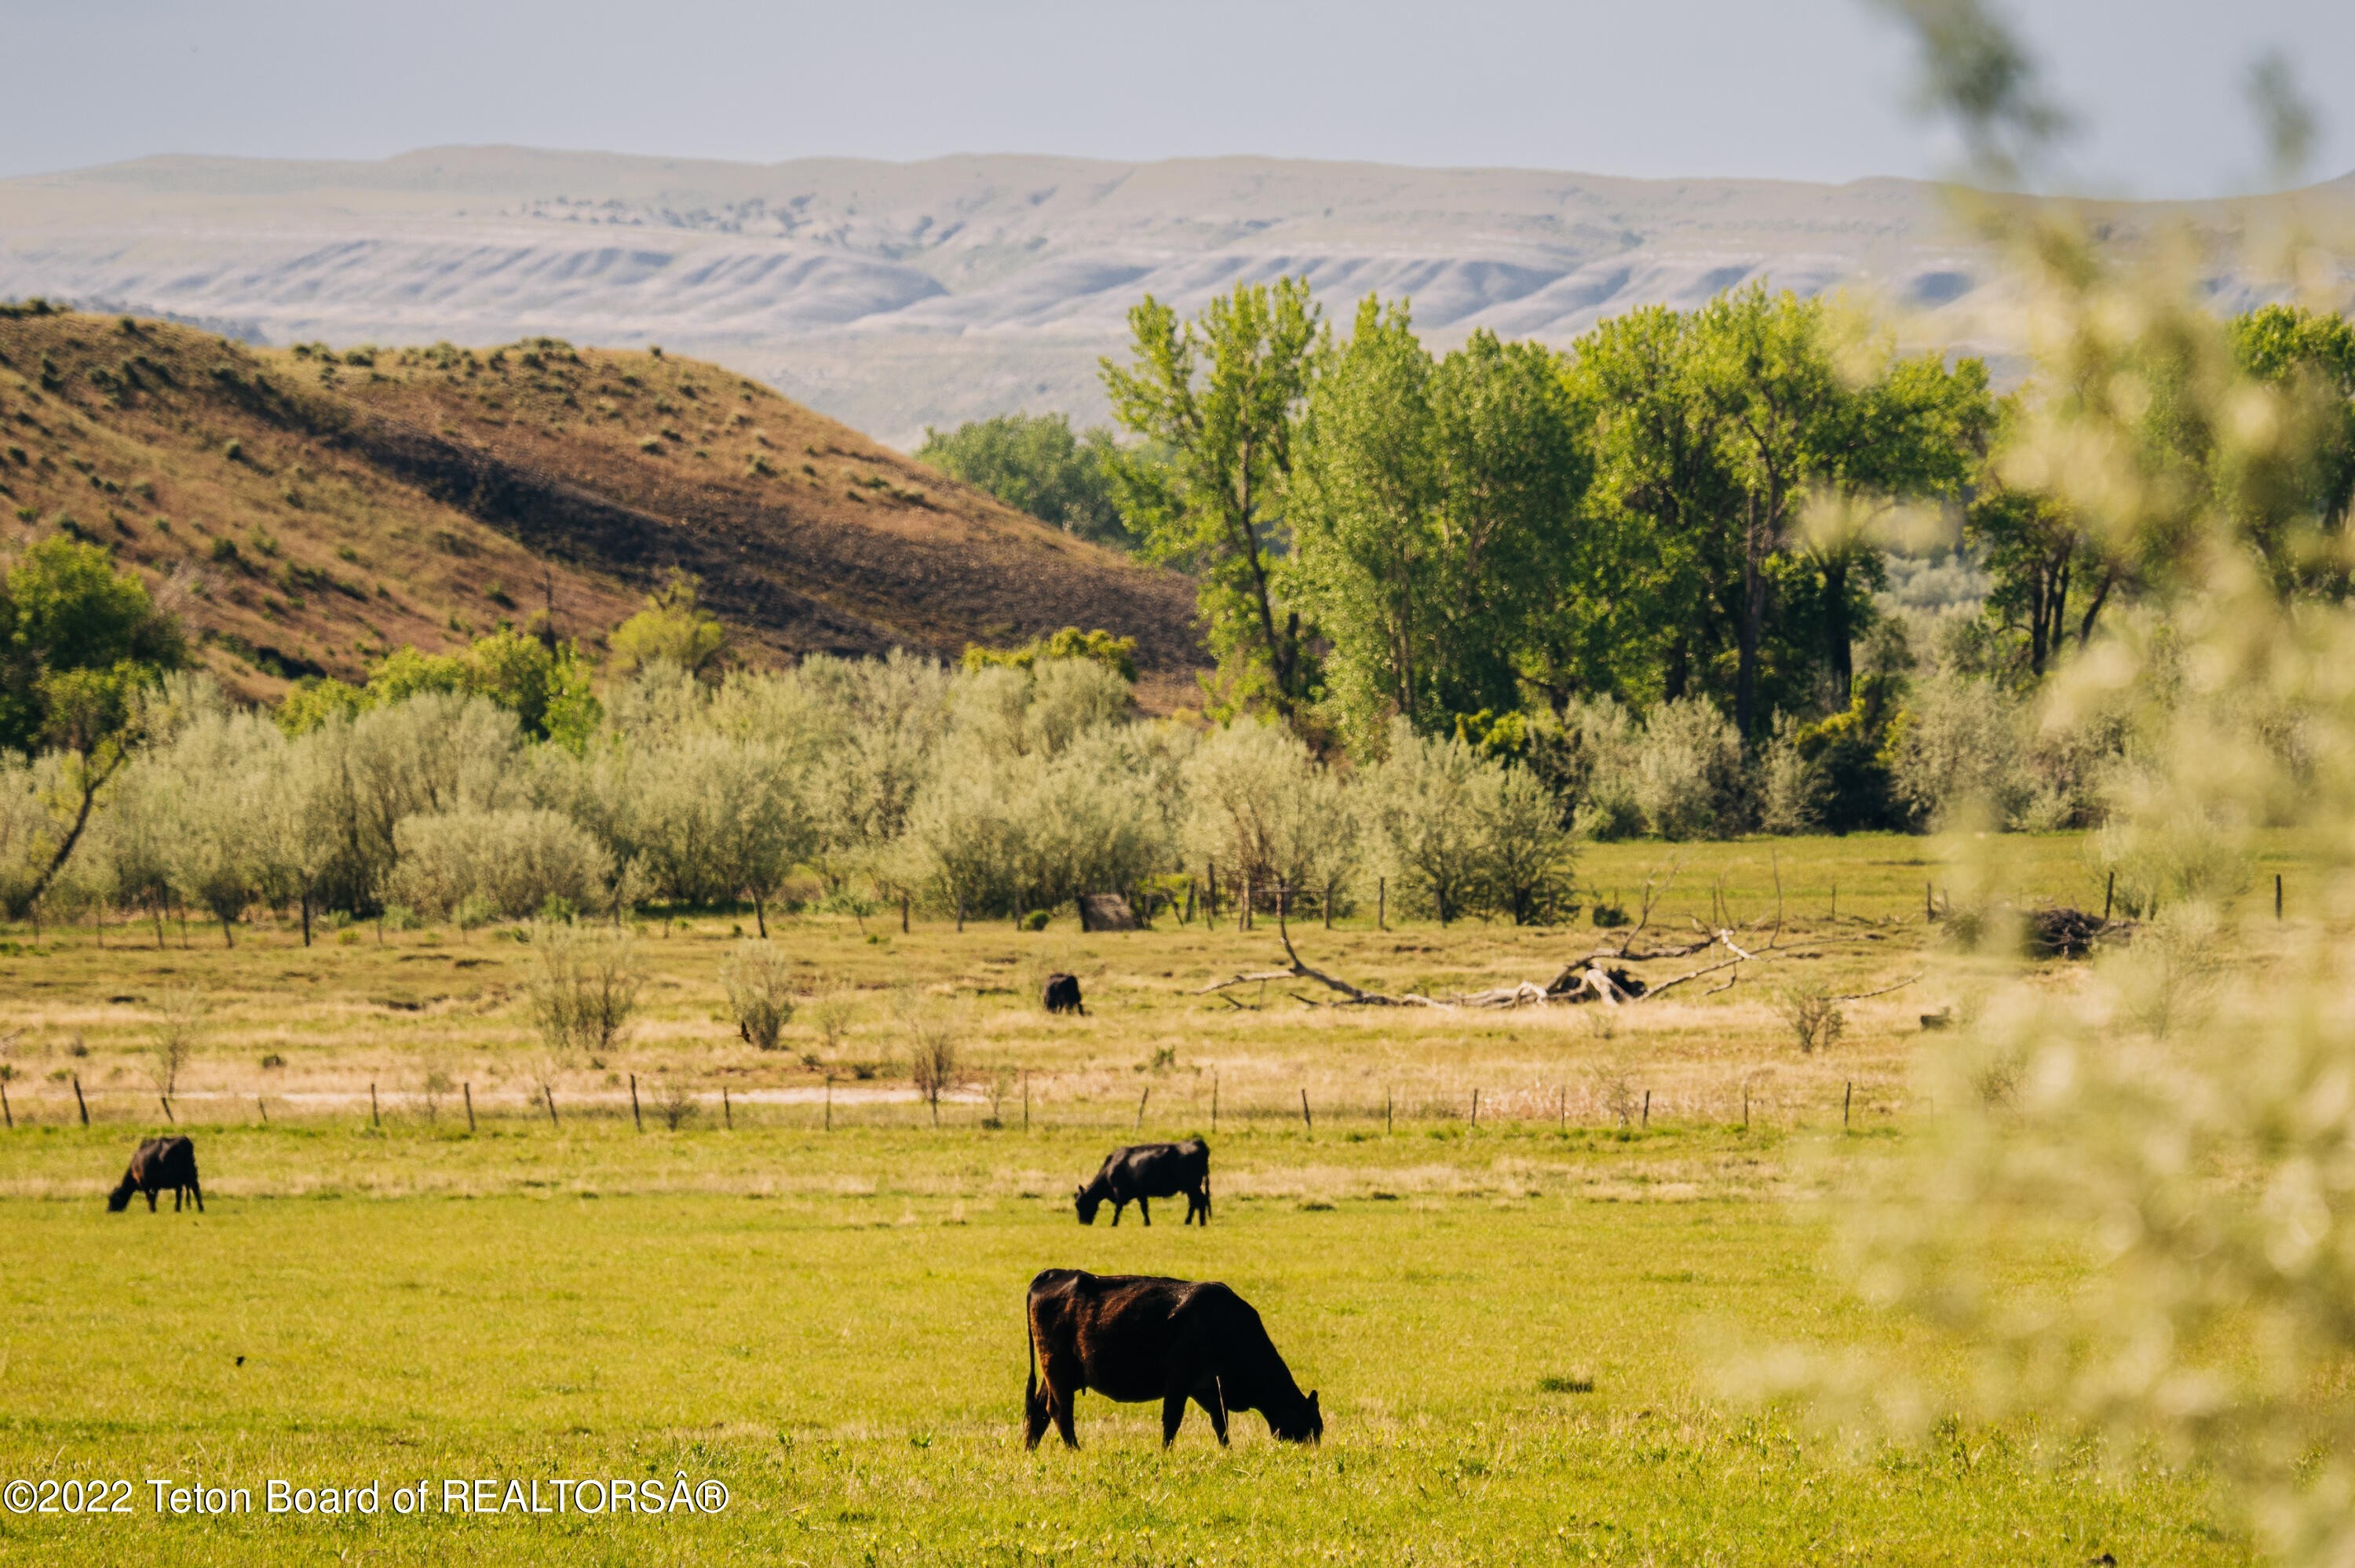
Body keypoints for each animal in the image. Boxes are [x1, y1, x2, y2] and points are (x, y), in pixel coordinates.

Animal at [1031, 1262, 1328, 1450]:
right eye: (1311, 1425)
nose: (1312, 1450)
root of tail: (1051, 1274)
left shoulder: (1209, 1389)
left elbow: (1220, 1424)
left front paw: (1228, 1451)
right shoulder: (1179, 1382)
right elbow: (1172, 1421)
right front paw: (1165, 1452)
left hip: (1054, 1375)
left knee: (1038, 1410)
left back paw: (1030, 1451)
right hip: (1057, 1370)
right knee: (1060, 1411)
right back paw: (1075, 1449)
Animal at [1074, 1135, 1206, 1224]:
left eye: (1080, 1204)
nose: (1082, 1223)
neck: (1111, 1167)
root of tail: (1196, 1142)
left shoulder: (1119, 1191)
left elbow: (1118, 1208)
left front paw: (1113, 1223)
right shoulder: (1141, 1193)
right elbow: (1144, 1208)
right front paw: (1147, 1223)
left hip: (1192, 1186)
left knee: (1198, 1201)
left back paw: (1193, 1222)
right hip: (1193, 1187)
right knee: (1197, 1202)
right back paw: (1197, 1222)